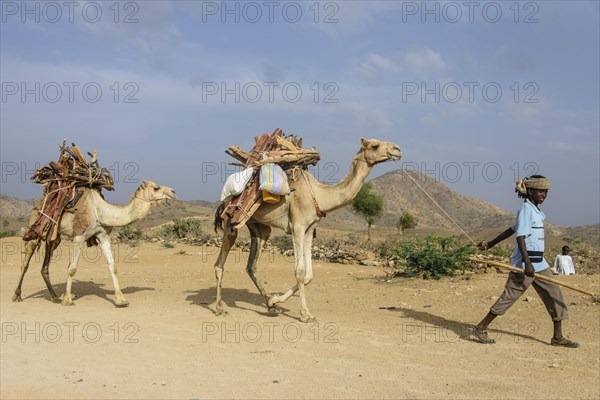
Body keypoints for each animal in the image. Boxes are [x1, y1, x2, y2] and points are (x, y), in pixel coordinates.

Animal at [12, 181, 176, 306]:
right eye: (156, 188)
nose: (173, 192)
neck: (100, 211)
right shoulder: (79, 236)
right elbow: (72, 268)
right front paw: (68, 299)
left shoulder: (103, 236)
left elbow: (112, 266)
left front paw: (121, 299)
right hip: (36, 226)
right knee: (27, 258)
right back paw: (17, 295)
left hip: (54, 235)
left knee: (46, 262)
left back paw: (54, 297)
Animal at [213, 138, 400, 322]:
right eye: (375, 145)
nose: (397, 150)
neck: (319, 195)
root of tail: (224, 200)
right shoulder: (297, 227)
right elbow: (300, 272)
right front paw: (305, 314)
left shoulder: (310, 229)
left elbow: (309, 276)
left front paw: (276, 300)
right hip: (232, 222)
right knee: (219, 265)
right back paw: (220, 308)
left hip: (258, 226)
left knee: (252, 265)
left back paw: (270, 307)